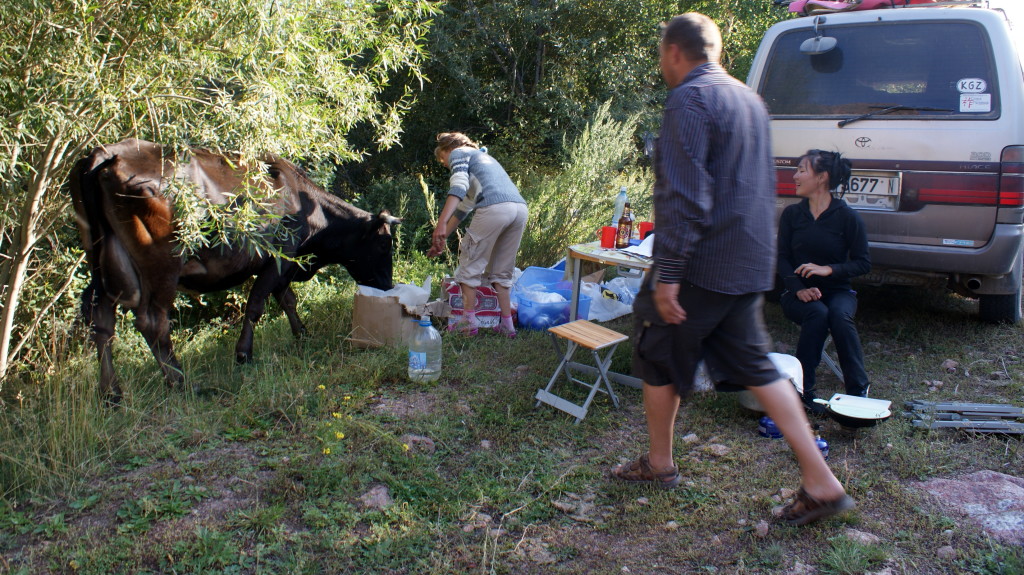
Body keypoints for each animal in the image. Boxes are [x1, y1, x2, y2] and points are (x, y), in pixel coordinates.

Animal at [70, 138, 397, 403]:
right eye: (384, 245)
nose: (388, 285)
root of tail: (108, 153)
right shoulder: (280, 258)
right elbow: (256, 305)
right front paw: (244, 354)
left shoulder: (284, 262)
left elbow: (287, 300)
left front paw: (302, 334)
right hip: (162, 264)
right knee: (153, 322)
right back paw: (181, 382)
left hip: (103, 261)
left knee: (100, 319)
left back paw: (111, 393)